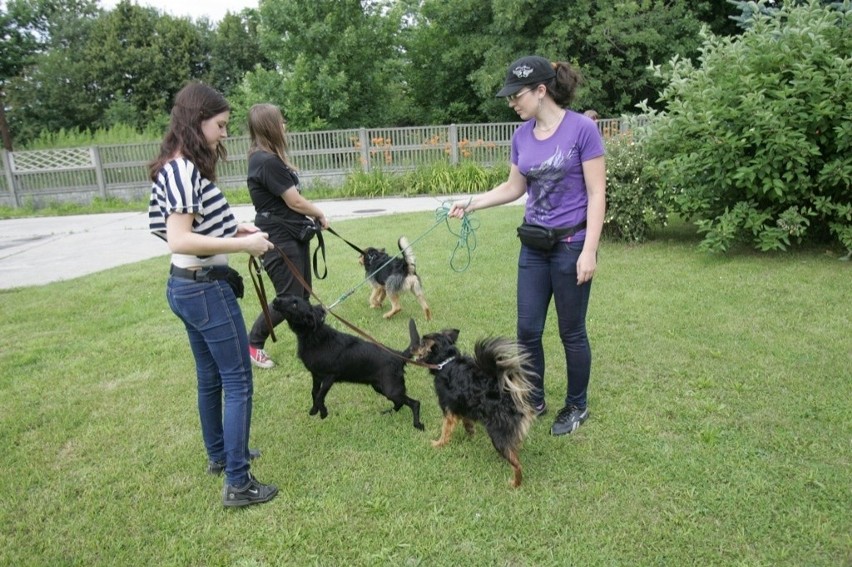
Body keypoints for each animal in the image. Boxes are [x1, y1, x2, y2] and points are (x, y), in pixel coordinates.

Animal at [272, 298, 424, 430]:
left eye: (295, 304)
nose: (275, 300)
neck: (315, 336)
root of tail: (398, 356)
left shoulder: (330, 377)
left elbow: (320, 396)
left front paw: (323, 413)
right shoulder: (316, 376)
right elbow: (314, 393)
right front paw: (314, 410)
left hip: (391, 389)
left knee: (414, 403)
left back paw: (417, 424)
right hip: (380, 387)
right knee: (400, 403)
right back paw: (388, 413)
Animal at [410, 320, 536, 488]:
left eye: (422, 343)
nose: (411, 348)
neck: (446, 362)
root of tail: (507, 392)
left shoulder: (448, 409)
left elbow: (445, 430)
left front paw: (439, 444)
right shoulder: (463, 405)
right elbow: (466, 420)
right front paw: (470, 433)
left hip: (497, 433)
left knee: (517, 464)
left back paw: (515, 483)